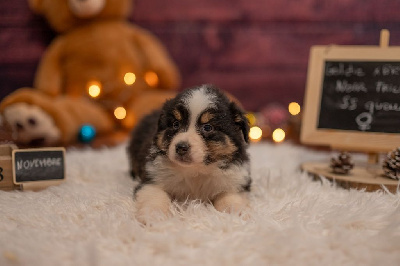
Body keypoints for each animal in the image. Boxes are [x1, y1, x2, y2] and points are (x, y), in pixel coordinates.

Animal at [127, 84, 250, 222]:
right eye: (175, 124)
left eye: (207, 127)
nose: (181, 147)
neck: (196, 171)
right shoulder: (152, 179)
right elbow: (154, 196)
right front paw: (154, 215)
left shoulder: (235, 180)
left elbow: (231, 197)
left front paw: (237, 213)